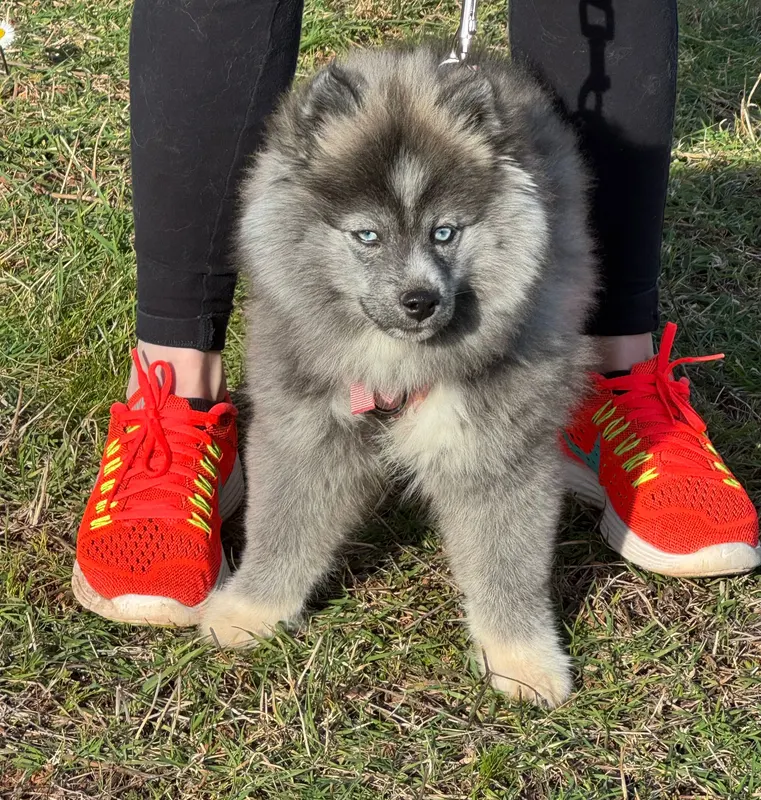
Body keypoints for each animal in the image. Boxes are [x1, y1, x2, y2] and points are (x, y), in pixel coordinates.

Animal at [199, 45, 597, 707]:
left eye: (445, 231)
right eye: (368, 235)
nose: (420, 301)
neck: (397, 361)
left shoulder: (496, 448)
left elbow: (507, 566)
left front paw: (522, 661)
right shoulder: (307, 432)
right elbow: (284, 528)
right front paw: (251, 611)